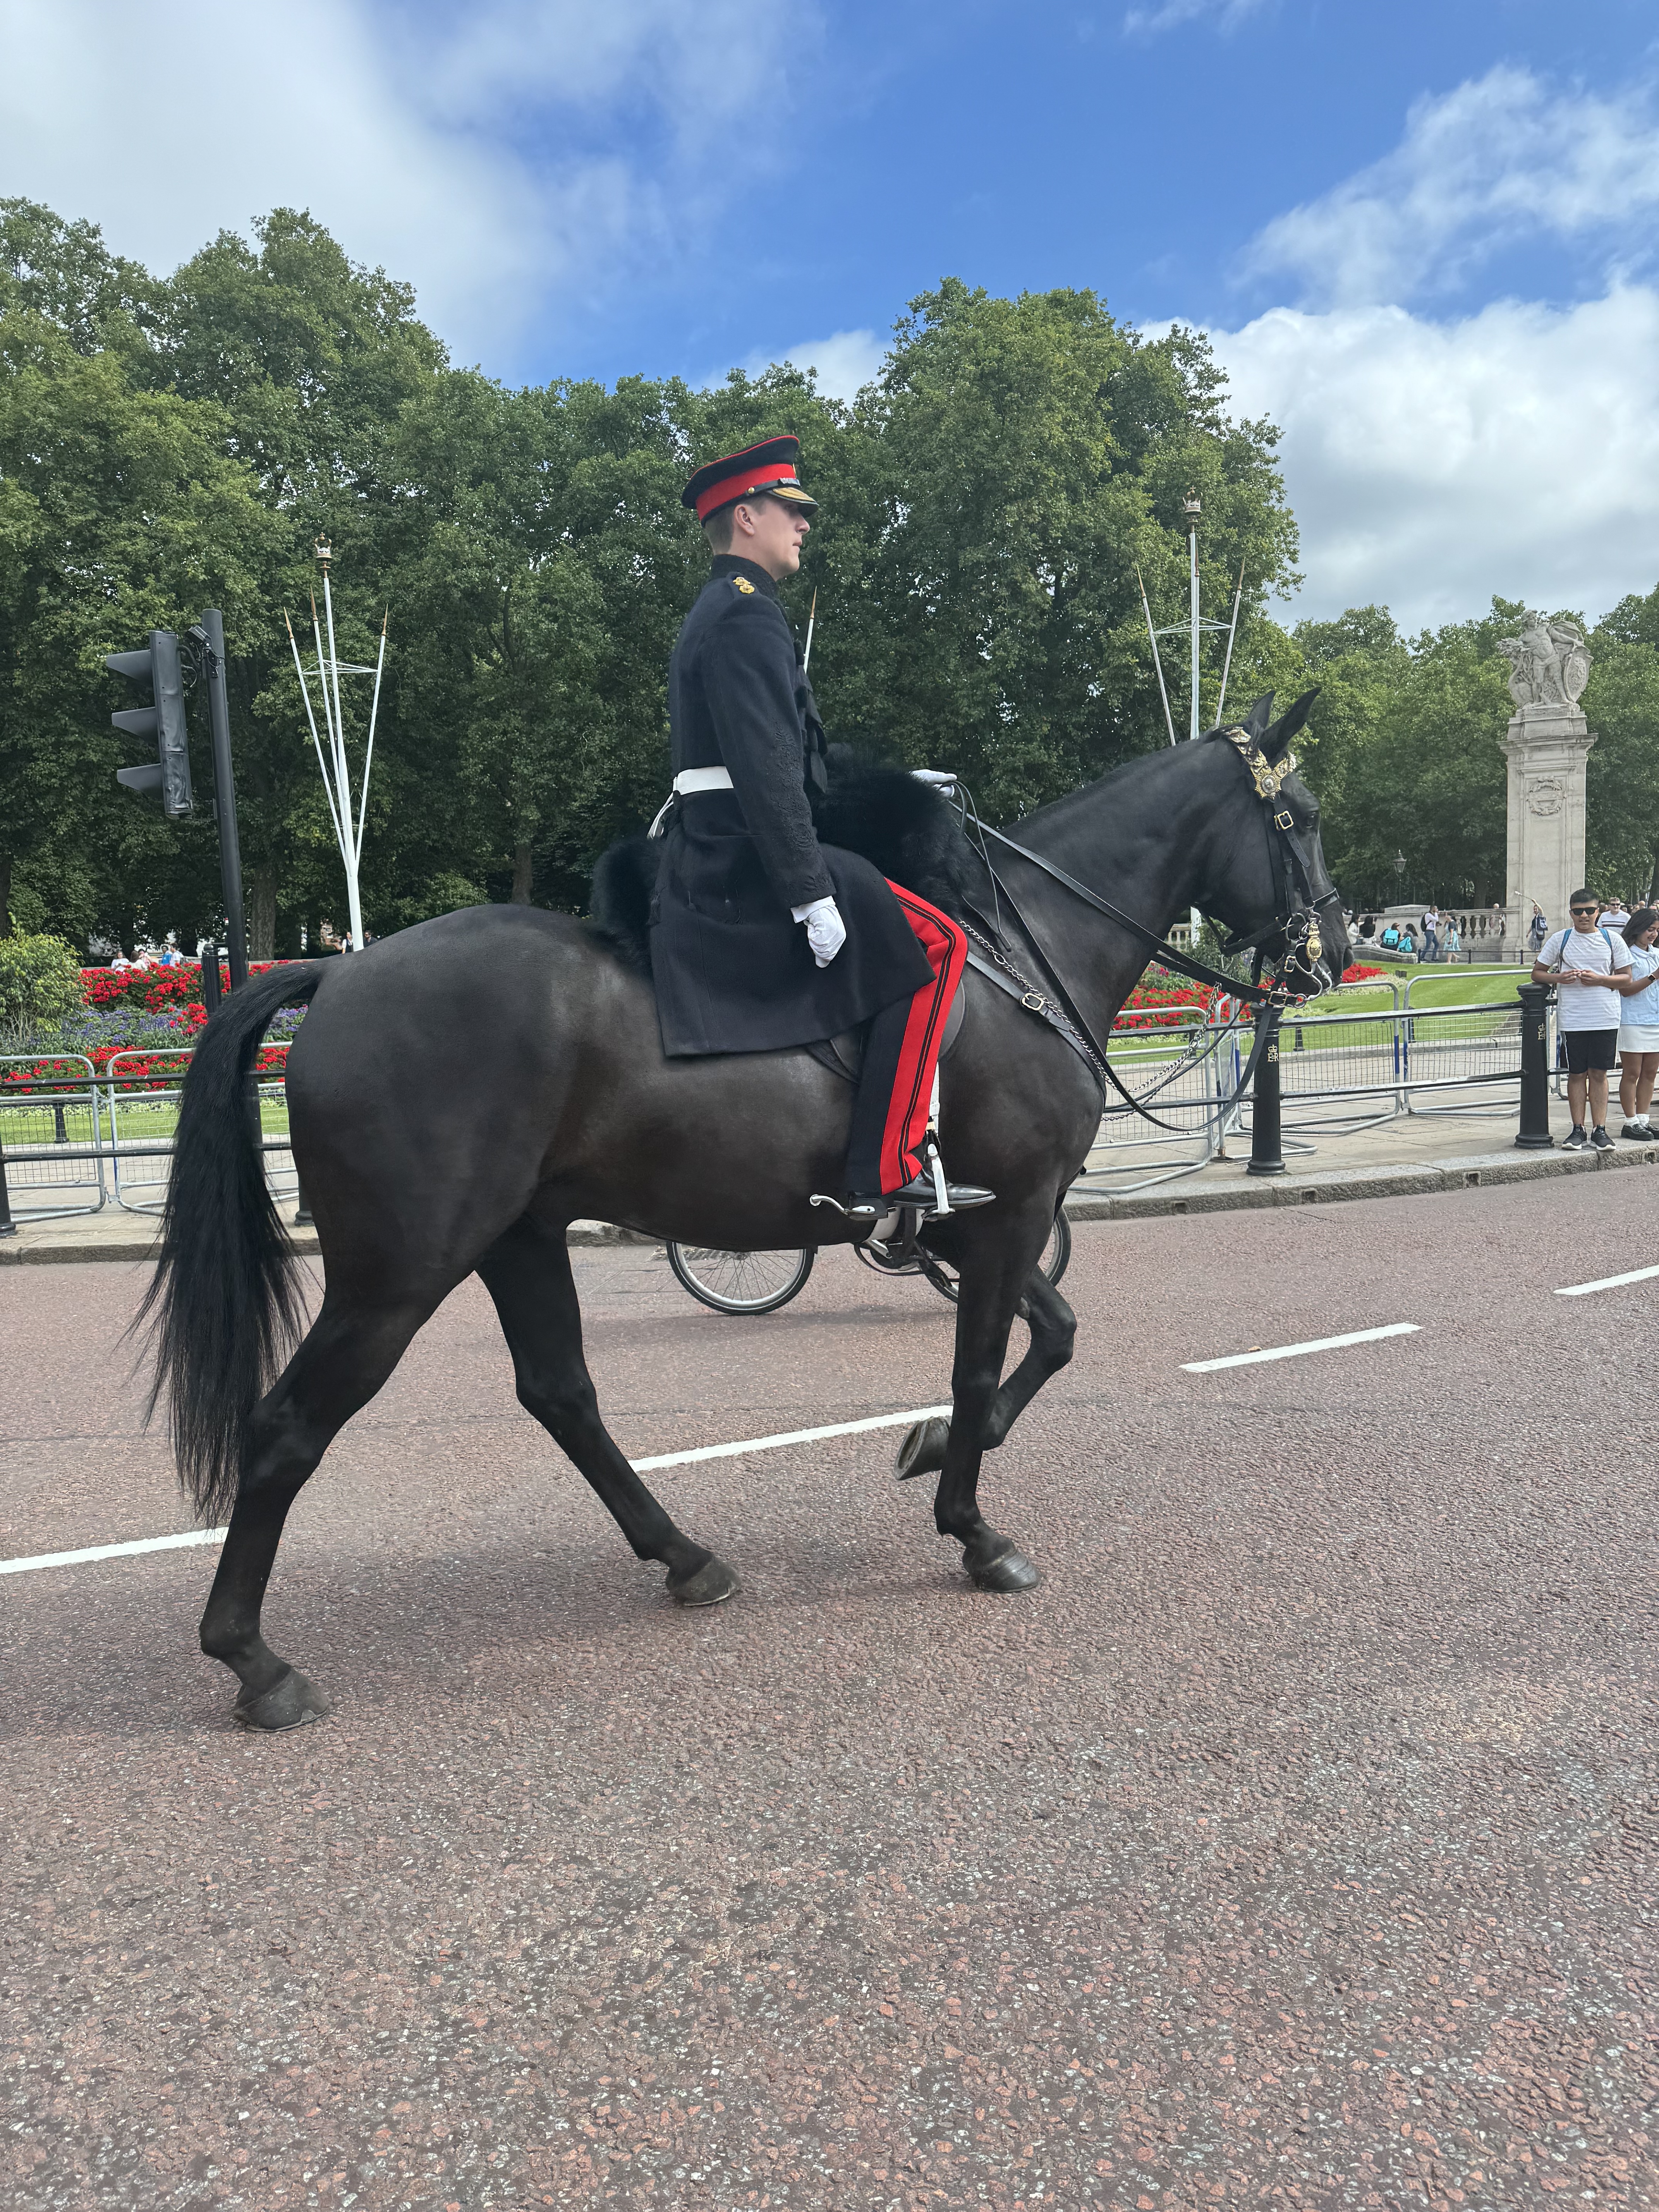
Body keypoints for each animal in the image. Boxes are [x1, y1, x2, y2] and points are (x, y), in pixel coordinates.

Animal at [139, 691, 1345, 1729]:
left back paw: (685, 1560)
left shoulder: (977, 1220)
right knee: (287, 1427)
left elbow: (1050, 1337)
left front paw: (934, 1451)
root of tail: (334, 977)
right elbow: (983, 1362)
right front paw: (972, 1528)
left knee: (561, 1395)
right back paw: (253, 1661)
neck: (1022, 953)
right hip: (400, 1272)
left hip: (517, 1238)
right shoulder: (1007, 1214)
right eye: (1297, 816)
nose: (1331, 952)